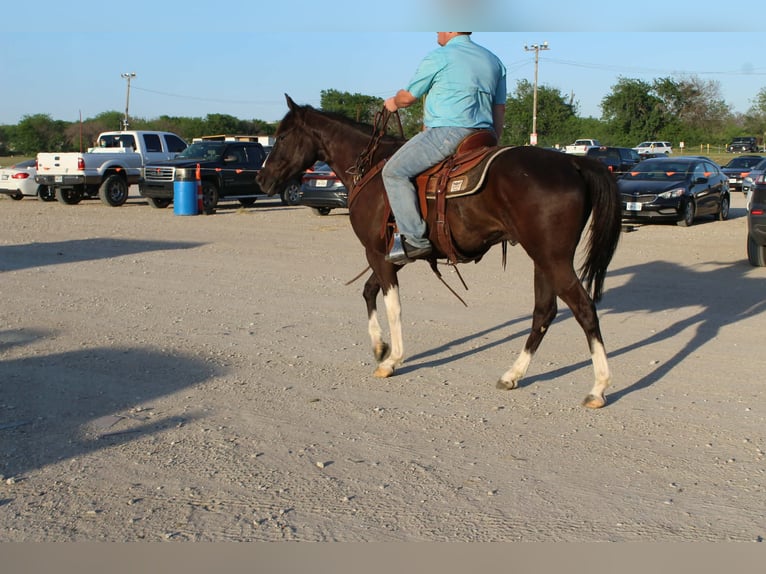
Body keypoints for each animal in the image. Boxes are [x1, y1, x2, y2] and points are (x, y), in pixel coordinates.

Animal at [257, 95, 622, 408]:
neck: (373, 169)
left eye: (283, 135)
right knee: (544, 312)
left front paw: (392, 359)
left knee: (584, 309)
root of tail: (571, 162)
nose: (261, 180)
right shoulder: (393, 256)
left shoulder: (376, 253)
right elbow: (368, 291)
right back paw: (513, 375)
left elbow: (392, 305)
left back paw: (598, 388)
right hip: (543, 259)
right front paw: (379, 346)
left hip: (553, 259)